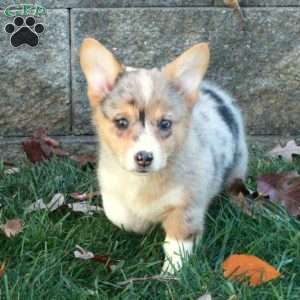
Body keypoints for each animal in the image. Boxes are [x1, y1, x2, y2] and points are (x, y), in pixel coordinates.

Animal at [79, 38, 248, 274]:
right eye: (121, 122)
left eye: (165, 124)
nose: (144, 157)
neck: (144, 182)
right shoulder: (111, 186)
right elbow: (121, 216)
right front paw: (141, 223)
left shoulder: (187, 205)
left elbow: (178, 244)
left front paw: (172, 273)